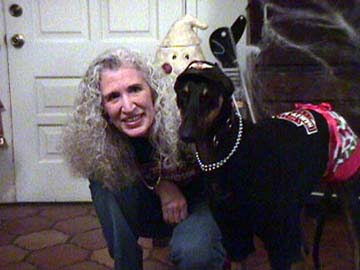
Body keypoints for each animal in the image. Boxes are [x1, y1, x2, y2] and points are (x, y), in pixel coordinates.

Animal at [174, 61, 360, 270]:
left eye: (207, 97)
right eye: (183, 94)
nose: (186, 134)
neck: (225, 151)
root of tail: (325, 110)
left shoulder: (280, 238)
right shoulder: (234, 234)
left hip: (347, 196)